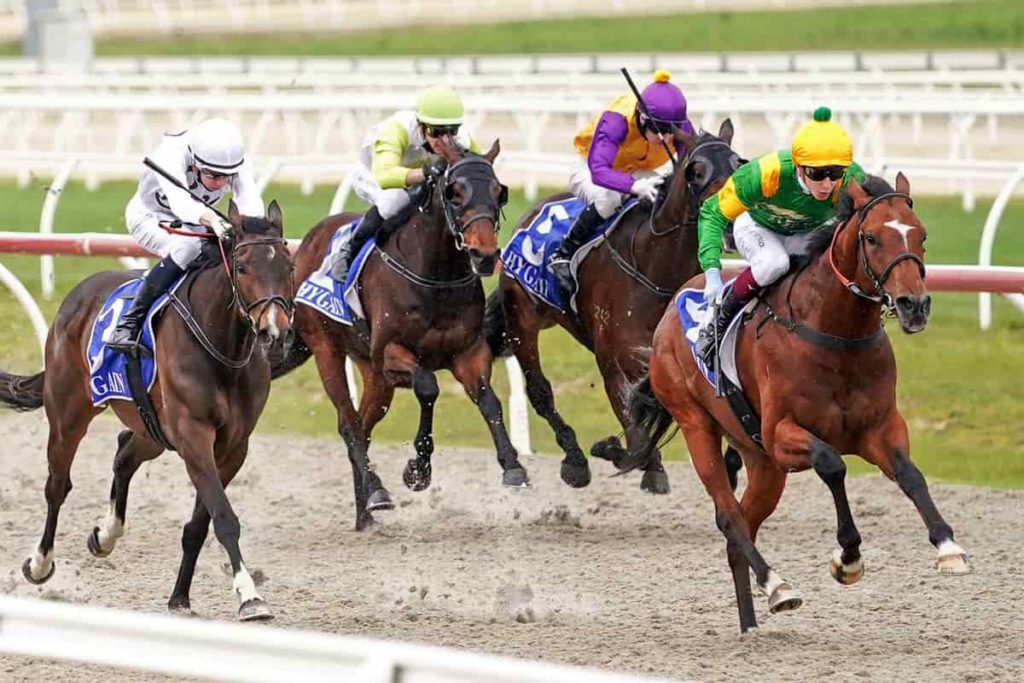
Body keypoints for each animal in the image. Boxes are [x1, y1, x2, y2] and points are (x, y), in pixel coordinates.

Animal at [0, 201, 296, 618]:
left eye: (289, 266)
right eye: (242, 267)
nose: (275, 334)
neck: (223, 345)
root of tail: (78, 294)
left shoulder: (233, 445)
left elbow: (200, 523)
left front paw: (180, 597)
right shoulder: (194, 436)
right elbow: (223, 516)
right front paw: (250, 597)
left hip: (151, 428)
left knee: (124, 454)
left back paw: (105, 535)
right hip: (69, 414)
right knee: (57, 485)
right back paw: (40, 563)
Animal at [270, 141, 520, 532]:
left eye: (500, 192)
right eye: (455, 192)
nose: (484, 254)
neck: (436, 277)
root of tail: (307, 242)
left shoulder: (468, 352)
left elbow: (488, 400)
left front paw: (513, 466)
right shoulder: (390, 354)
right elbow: (428, 387)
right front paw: (418, 471)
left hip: (372, 373)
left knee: (362, 426)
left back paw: (365, 514)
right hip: (327, 348)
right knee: (349, 424)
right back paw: (376, 493)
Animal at [483, 122, 741, 493]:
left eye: (738, 164)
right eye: (696, 171)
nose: (732, 219)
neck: (655, 270)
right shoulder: (613, 364)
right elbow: (635, 437)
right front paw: (632, 460)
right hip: (523, 322)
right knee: (540, 392)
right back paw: (574, 460)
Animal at [626, 174, 970, 634]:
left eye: (921, 235)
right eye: (872, 237)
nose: (915, 305)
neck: (835, 333)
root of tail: (670, 311)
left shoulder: (879, 429)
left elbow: (911, 475)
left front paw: (948, 546)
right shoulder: (782, 434)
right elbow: (833, 464)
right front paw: (848, 557)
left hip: (763, 463)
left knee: (741, 529)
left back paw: (750, 626)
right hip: (698, 425)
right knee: (730, 517)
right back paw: (777, 586)